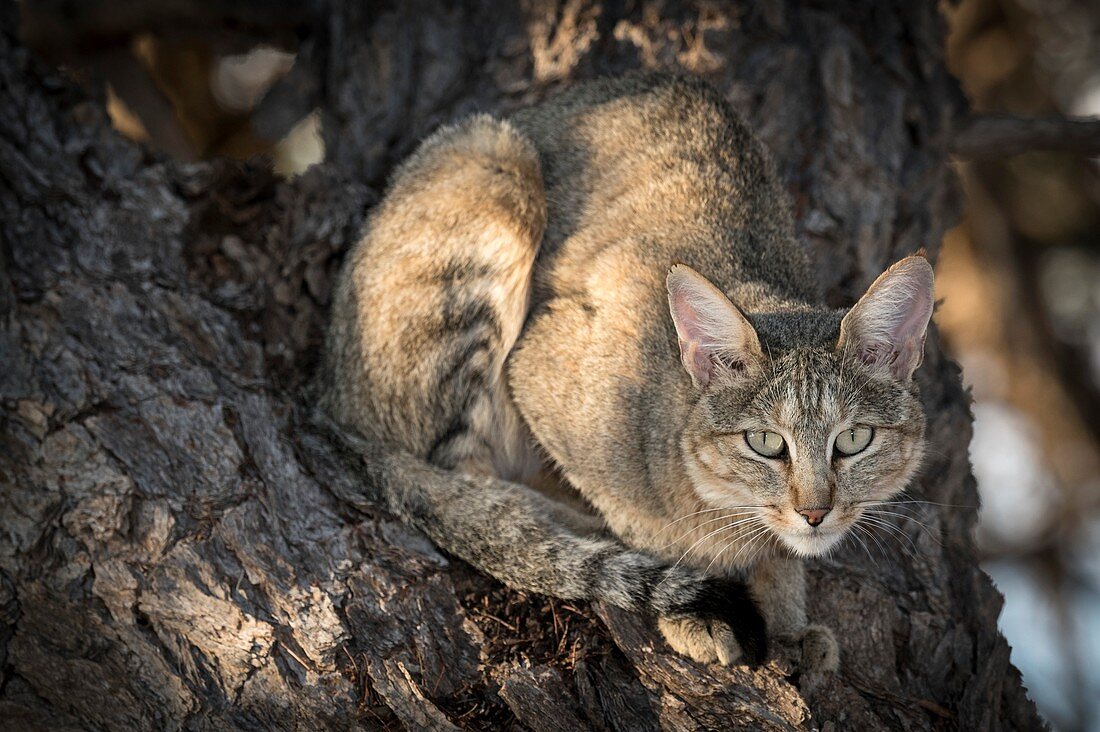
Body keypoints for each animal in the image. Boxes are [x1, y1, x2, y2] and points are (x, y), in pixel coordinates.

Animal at [319, 71, 928, 678]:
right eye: (764, 443)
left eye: (854, 439)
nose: (815, 513)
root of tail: (330, 400)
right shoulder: (536, 368)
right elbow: (631, 520)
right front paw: (690, 595)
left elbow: (779, 551)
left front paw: (786, 620)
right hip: (495, 165)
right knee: (463, 490)